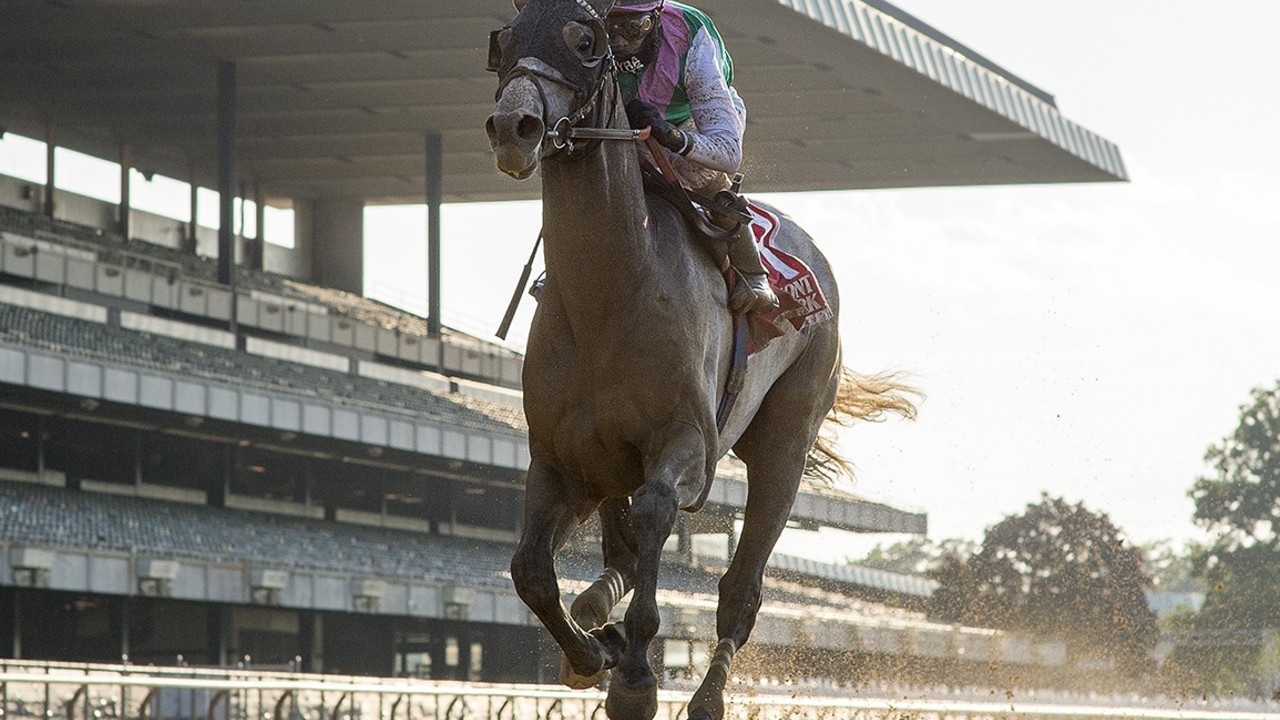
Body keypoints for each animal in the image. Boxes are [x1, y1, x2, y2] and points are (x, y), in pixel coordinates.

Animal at [483, 2, 916, 712]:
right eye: (505, 42)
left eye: (584, 40)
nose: (513, 126)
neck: (611, 295)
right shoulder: (561, 459)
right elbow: (530, 570)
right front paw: (589, 653)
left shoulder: (689, 443)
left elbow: (658, 511)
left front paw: (634, 678)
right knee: (620, 556)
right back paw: (597, 611)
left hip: (786, 444)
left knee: (740, 587)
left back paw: (706, 694)